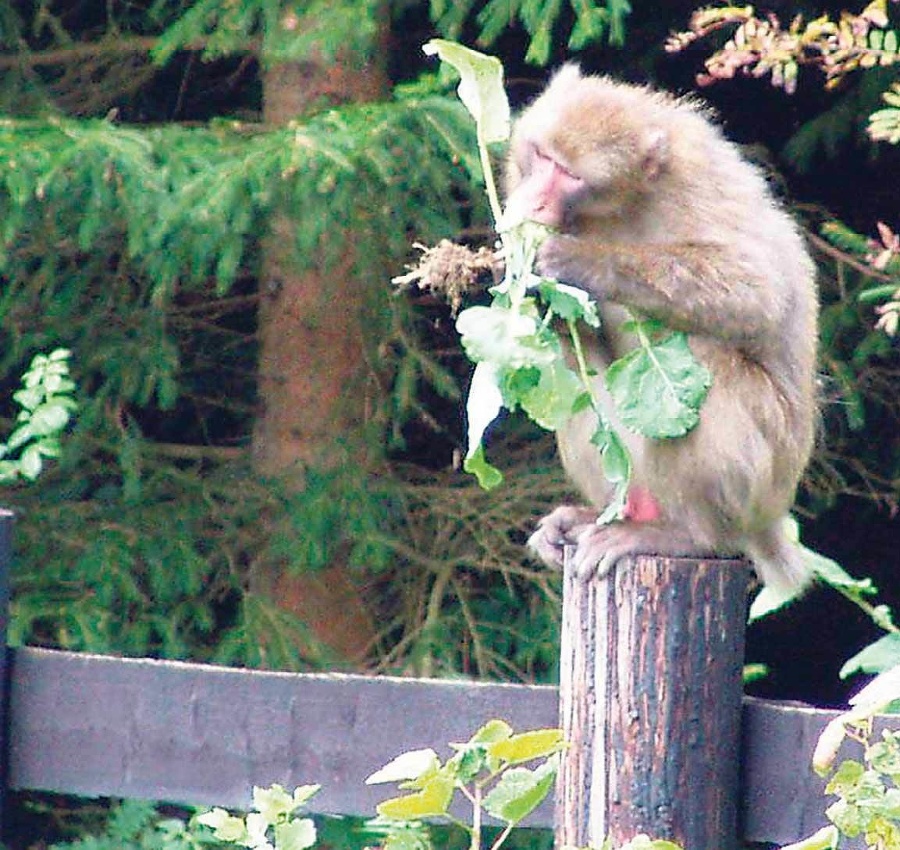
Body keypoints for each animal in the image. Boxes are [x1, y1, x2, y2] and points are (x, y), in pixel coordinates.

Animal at [506, 66, 824, 592]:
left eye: (570, 175)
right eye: (542, 157)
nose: (533, 202)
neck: (615, 209)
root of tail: (770, 518)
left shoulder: (695, 185)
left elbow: (758, 288)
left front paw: (578, 263)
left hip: (764, 477)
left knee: (705, 358)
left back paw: (690, 535)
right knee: (578, 378)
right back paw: (602, 515)